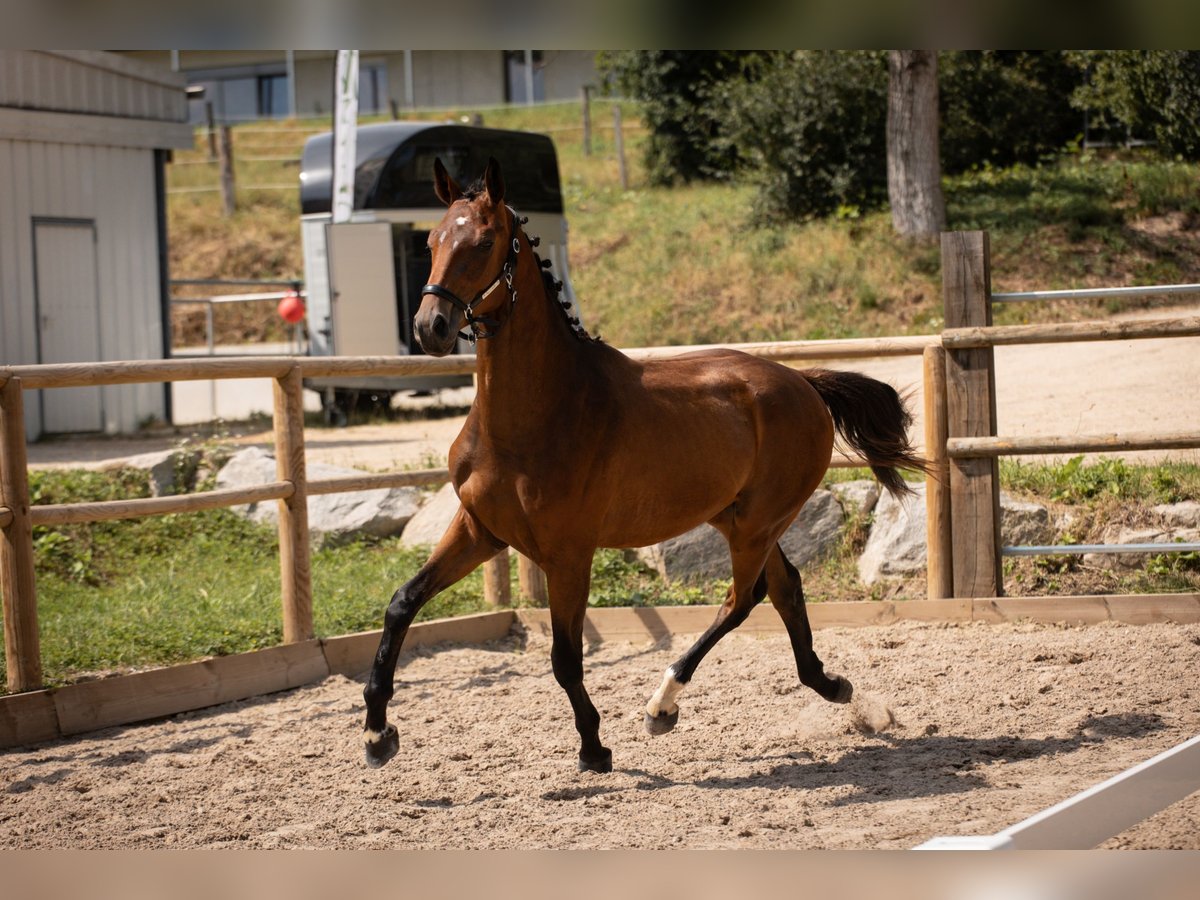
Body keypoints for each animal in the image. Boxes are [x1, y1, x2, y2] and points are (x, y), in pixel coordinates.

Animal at [364, 157, 926, 777]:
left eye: (485, 242)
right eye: (433, 240)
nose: (430, 327)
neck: (532, 417)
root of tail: (804, 383)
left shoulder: (568, 554)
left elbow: (564, 657)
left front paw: (594, 747)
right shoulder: (481, 531)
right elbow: (401, 604)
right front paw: (377, 735)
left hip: (756, 523)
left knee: (742, 598)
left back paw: (663, 705)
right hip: (737, 517)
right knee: (783, 588)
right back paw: (829, 685)